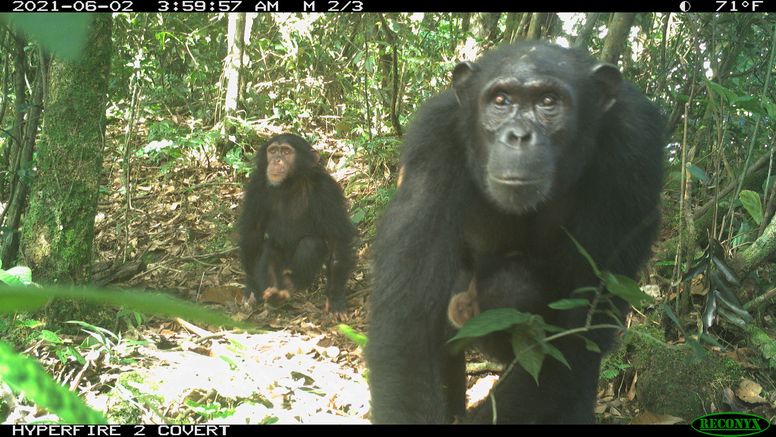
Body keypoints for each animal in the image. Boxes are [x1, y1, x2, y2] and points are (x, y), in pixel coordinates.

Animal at [238, 133, 356, 314]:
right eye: (273, 151)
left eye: (286, 152)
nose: (277, 160)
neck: (290, 183)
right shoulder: (256, 187)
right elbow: (253, 232)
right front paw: (251, 287)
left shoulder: (327, 190)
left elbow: (337, 239)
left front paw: (336, 298)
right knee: (269, 247)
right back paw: (274, 294)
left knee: (310, 244)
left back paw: (291, 285)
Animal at [366, 41, 664, 422]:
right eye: (501, 100)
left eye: (549, 101)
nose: (519, 135)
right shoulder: (434, 138)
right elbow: (410, 324)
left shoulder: (635, 151)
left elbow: (577, 333)